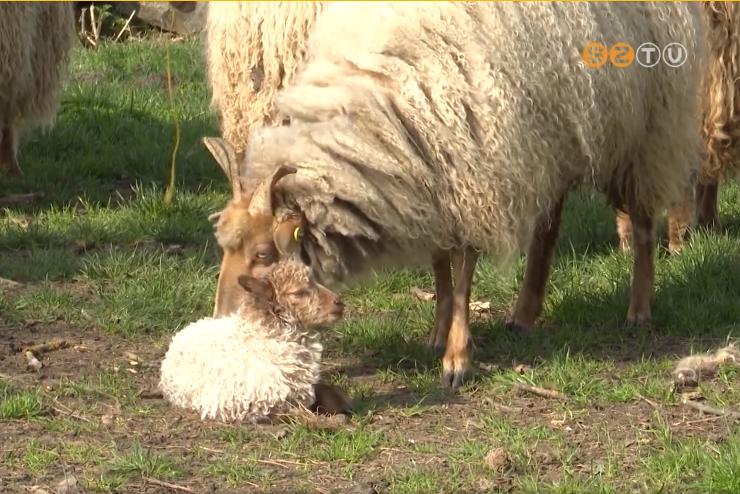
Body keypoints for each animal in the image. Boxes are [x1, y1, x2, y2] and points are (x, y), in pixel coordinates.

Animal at [202, 0, 704, 390]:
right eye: (224, 244)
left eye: (265, 254)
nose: (223, 320)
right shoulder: (429, 178)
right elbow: (440, 262)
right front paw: (439, 331)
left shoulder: (473, 170)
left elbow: (464, 269)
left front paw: (457, 356)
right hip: (554, 131)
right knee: (550, 218)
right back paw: (525, 312)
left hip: (645, 123)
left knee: (642, 215)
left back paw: (639, 309)